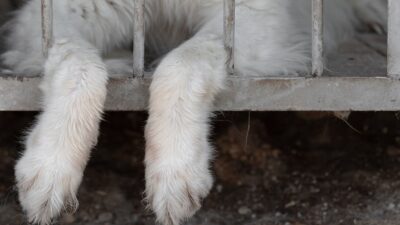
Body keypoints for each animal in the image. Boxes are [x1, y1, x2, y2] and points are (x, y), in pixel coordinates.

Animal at [0, 0, 388, 225]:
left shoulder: (253, 15)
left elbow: (182, 61)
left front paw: (176, 170)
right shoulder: (58, 14)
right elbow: (78, 65)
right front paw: (50, 167)